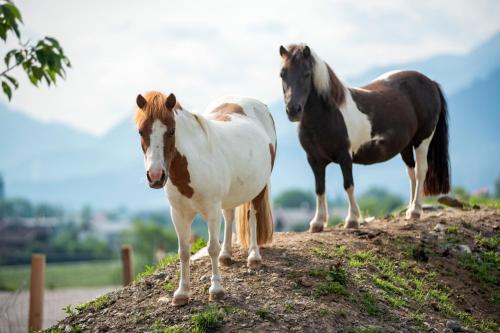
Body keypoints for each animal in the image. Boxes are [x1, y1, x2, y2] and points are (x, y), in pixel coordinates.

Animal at [135, 91, 276, 304]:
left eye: (171, 131)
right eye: (141, 131)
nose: (156, 176)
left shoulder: (211, 210)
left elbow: (212, 248)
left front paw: (216, 289)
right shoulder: (178, 214)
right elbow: (184, 251)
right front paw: (182, 293)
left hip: (258, 187)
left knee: (253, 215)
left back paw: (253, 256)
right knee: (229, 215)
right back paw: (227, 255)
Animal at [280, 43, 452, 231]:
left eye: (307, 74)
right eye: (282, 74)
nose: (293, 110)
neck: (329, 113)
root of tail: (430, 82)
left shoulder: (345, 156)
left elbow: (348, 185)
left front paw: (352, 220)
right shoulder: (314, 159)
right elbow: (319, 188)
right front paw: (317, 223)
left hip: (423, 140)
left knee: (421, 171)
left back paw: (415, 210)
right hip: (405, 146)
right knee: (411, 172)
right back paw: (409, 210)